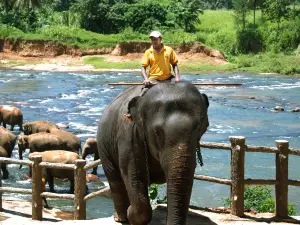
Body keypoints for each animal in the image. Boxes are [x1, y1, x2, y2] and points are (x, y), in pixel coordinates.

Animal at [96, 81, 209, 225]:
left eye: (198, 128)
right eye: (157, 132)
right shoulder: (128, 136)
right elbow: (134, 175)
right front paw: (130, 213)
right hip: (103, 145)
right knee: (114, 179)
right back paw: (121, 218)